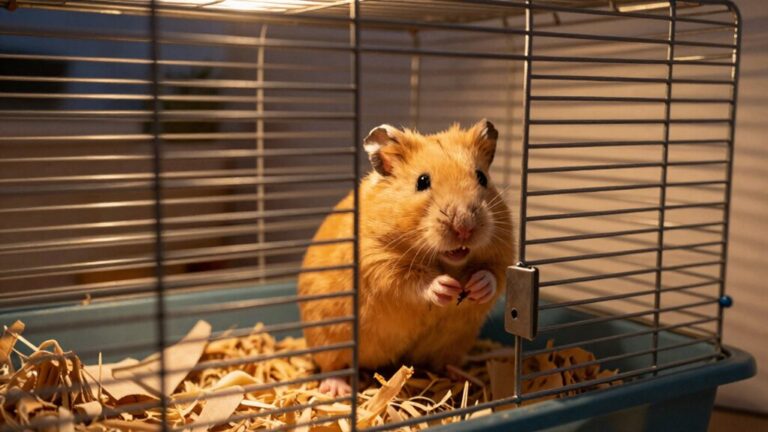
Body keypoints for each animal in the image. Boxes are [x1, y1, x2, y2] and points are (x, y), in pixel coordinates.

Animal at [297, 119, 515, 396]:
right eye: (422, 181)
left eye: (482, 177)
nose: (464, 227)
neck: (446, 262)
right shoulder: (378, 262)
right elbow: (411, 283)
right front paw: (445, 287)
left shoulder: (503, 249)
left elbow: (493, 275)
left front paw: (476, 286)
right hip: (329, 337)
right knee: (333, 366)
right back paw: (338, 389)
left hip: (453, 344)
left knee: (444, 362)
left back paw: (461, 375)